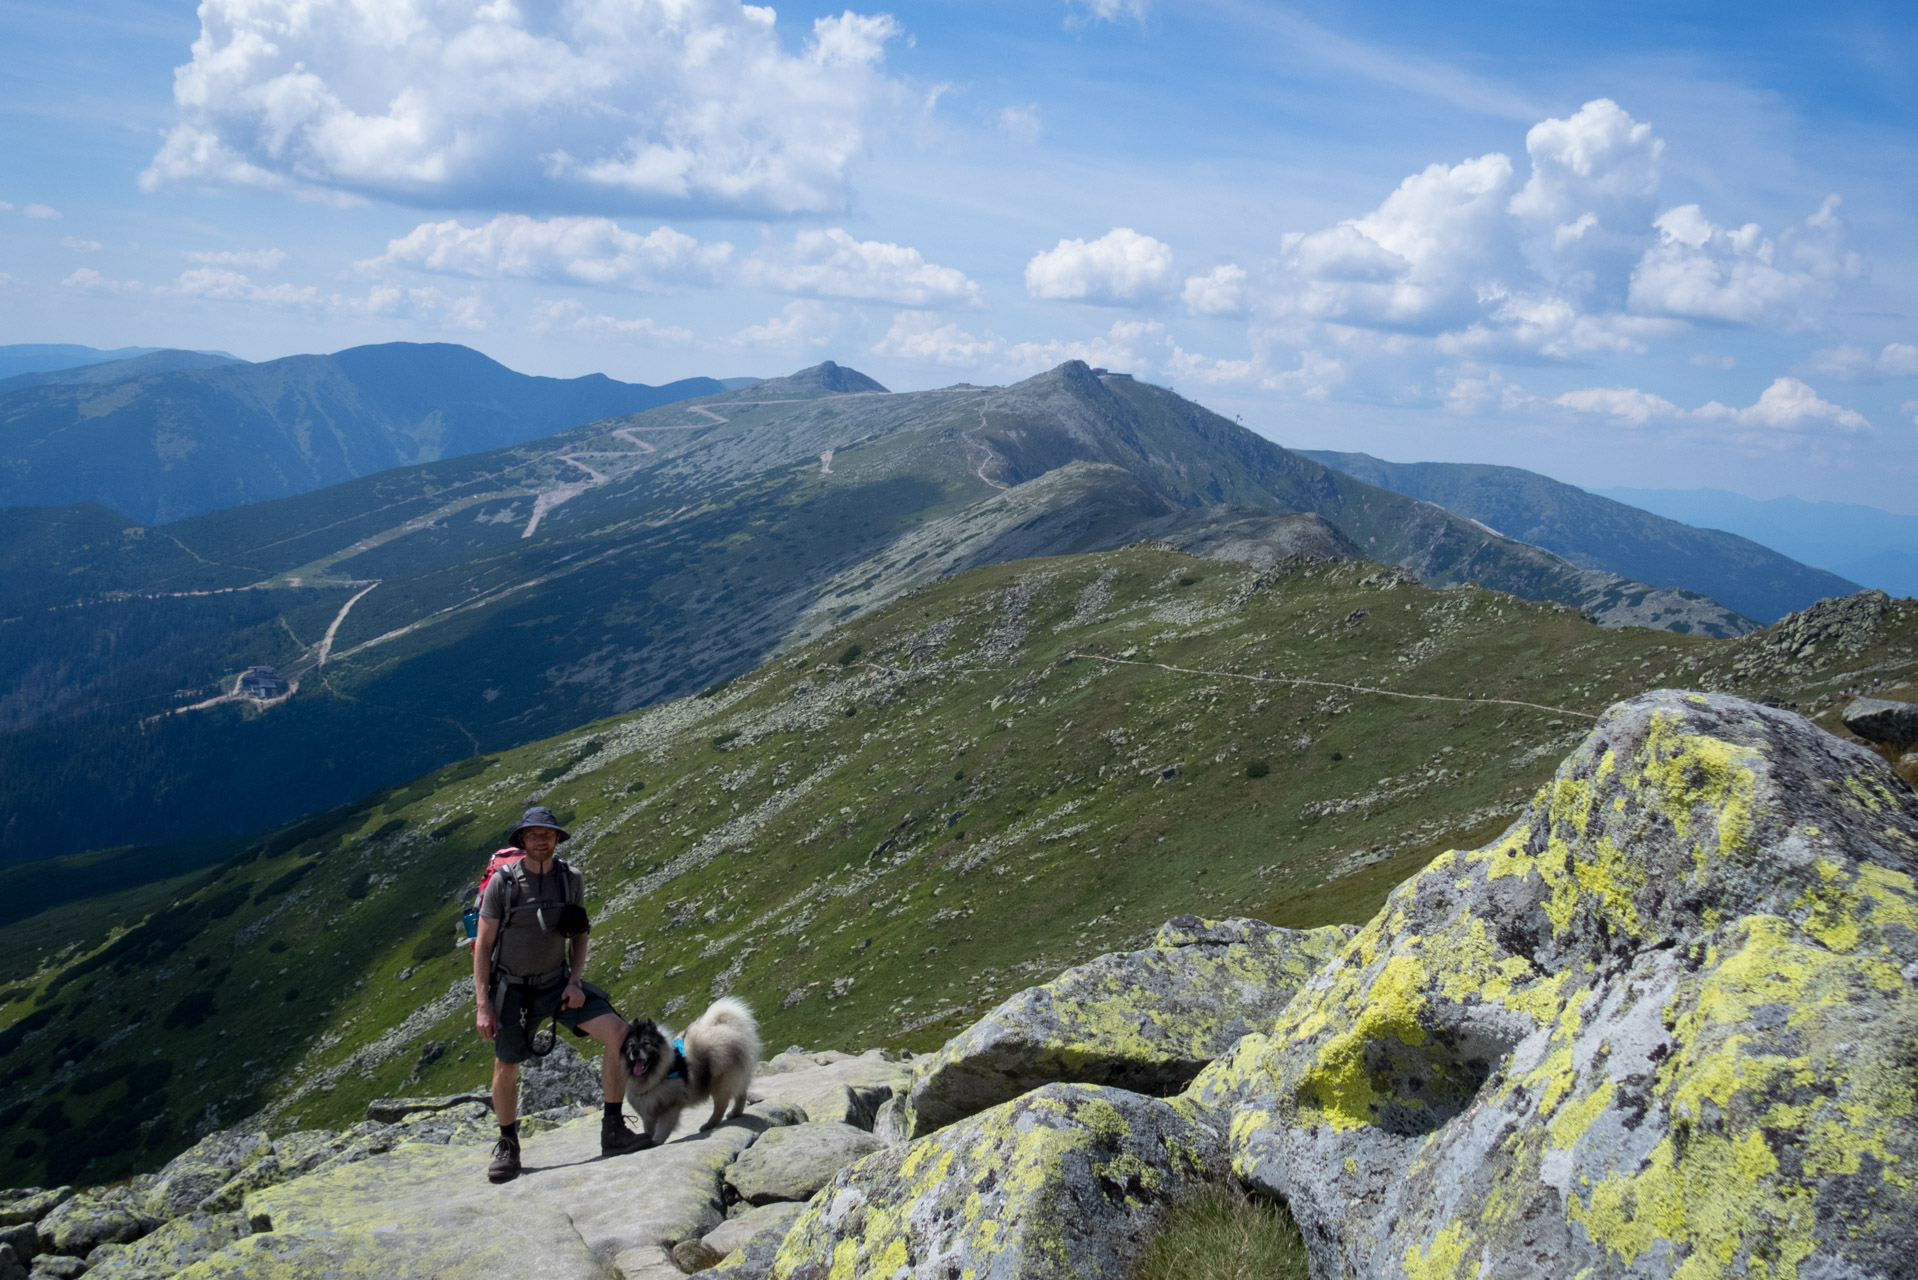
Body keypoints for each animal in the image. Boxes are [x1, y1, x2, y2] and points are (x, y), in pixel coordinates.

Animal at [617, 997, 759, 1143]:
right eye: (631, 1045)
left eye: (646, 1043)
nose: (635, 1052)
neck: (654, 1076)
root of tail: (728, 1026)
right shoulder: (648, 1112)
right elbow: (648, 1129)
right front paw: (646, 1139)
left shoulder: (670, 1106)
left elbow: (663, 1128)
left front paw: (656, 1141)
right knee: (741, 1094)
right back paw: (735, 1113)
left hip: (719, 1081)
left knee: (721, 1105)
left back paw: (709, 1124)